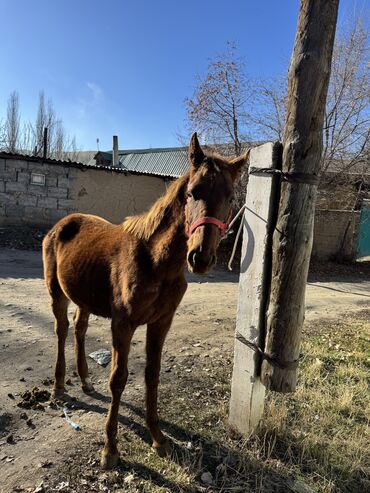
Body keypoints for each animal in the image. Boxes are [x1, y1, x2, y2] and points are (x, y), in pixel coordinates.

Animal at [42, 132, 250, 468]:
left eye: (231, 198)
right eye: (191, 193)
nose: (201, 258)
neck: (156, 262)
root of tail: (61, 225)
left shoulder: (161, 322)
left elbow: (152, 375)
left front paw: (158, 438)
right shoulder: (123, 324)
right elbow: (118, 378)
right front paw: (110, 448)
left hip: (84, 298)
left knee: (79, 328)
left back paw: (85, 380)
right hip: (56, 292)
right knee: (61, 330)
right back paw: (59, 387)